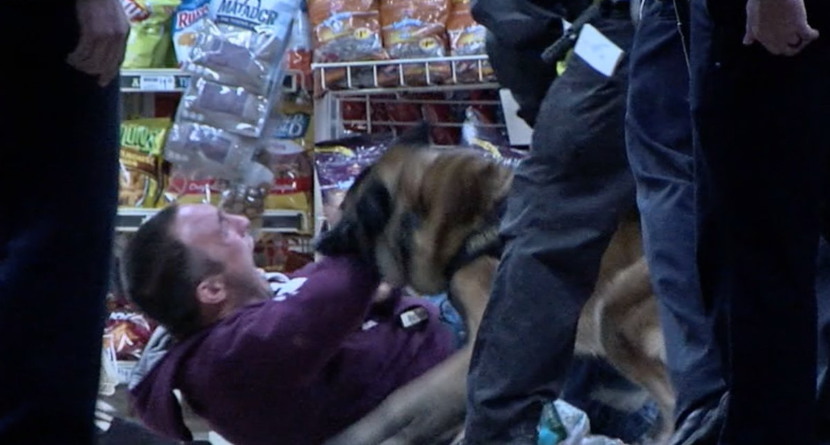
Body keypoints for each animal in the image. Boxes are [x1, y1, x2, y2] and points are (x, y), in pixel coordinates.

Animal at [318, 140, 676, 442]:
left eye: (345, 220)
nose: (317, 245)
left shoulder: (478, 351)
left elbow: (406, 398)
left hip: (613, 317)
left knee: (672, 399)